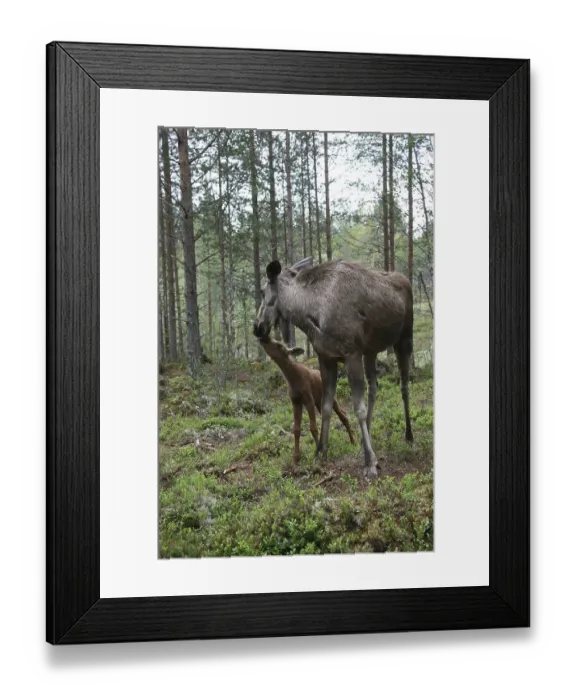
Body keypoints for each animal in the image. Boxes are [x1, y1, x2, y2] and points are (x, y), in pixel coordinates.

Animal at [258, 336, 355, 466]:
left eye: (279, 345)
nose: (264, 339)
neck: (293, 380)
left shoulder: (308, 399)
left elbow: (313, 427)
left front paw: (318, 454)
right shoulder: (295, 402)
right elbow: (296, 429)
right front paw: (296, 458)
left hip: (329, 398)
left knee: (343, 415)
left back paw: (353, 441)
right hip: (319, 402)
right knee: (330, 416)